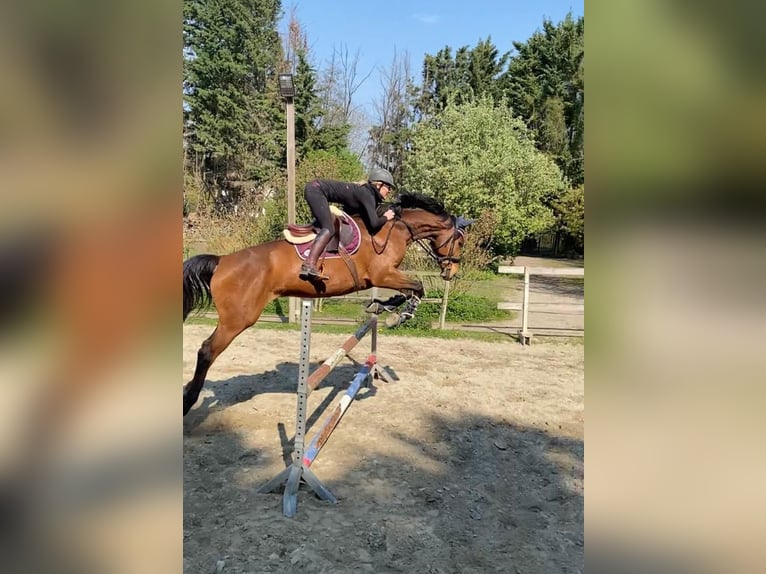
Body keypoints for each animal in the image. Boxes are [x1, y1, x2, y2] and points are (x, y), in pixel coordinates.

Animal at [184, 192, 474, 414]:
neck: (394, 230)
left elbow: (405, 291)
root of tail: (222, 261)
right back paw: (189, 399)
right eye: (460, 240)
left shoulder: (384, 277)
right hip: (238, 319)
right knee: (206, 351)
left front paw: (382, 306)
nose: (451, 272)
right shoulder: (383, 274)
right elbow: (417, 287)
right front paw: (399, 315)